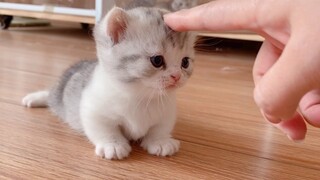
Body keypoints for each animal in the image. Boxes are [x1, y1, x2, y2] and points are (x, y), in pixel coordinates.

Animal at [21, 6, 195, 160]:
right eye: (157, 60)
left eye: (185, 62)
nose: (176, 76)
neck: (140, 96)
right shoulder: (93, 110)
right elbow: (104, 129)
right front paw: (113, 145)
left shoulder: (167, 113)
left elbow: (159, 128)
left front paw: (160, 141)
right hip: (59, 96)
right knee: (50, 96)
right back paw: (34, 98)